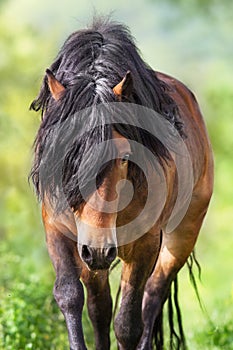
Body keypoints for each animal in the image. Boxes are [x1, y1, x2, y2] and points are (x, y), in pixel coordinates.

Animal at [30, 19, 213, 350]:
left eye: (127, 156)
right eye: (65, 154)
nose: (100, 249)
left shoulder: (145, 244)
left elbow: (128, 323)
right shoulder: (59, 231)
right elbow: (71, 297)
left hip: (180, 236)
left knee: (153, 296)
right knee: (100, 308)